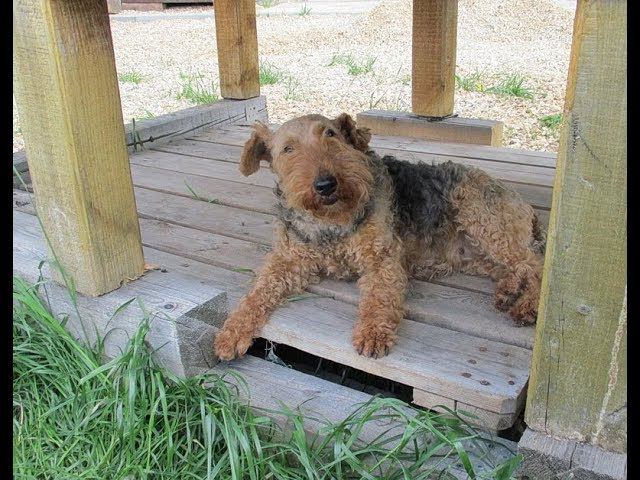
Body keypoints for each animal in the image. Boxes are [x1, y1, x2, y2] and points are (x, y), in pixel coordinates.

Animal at [214, 113, 545, 360]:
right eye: (288, 149)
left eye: (331, 134)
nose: (326, 184)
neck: (330, 222)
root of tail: (522, 202)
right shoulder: (288, 259)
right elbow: (257, 293)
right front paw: (231, 333)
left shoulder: (381, 257)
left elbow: (379, 297)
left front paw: (372, 334)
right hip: (477, 252)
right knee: (519, 268)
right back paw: (507, 292)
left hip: (485, 222)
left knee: (538, 266)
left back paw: (527, 307)